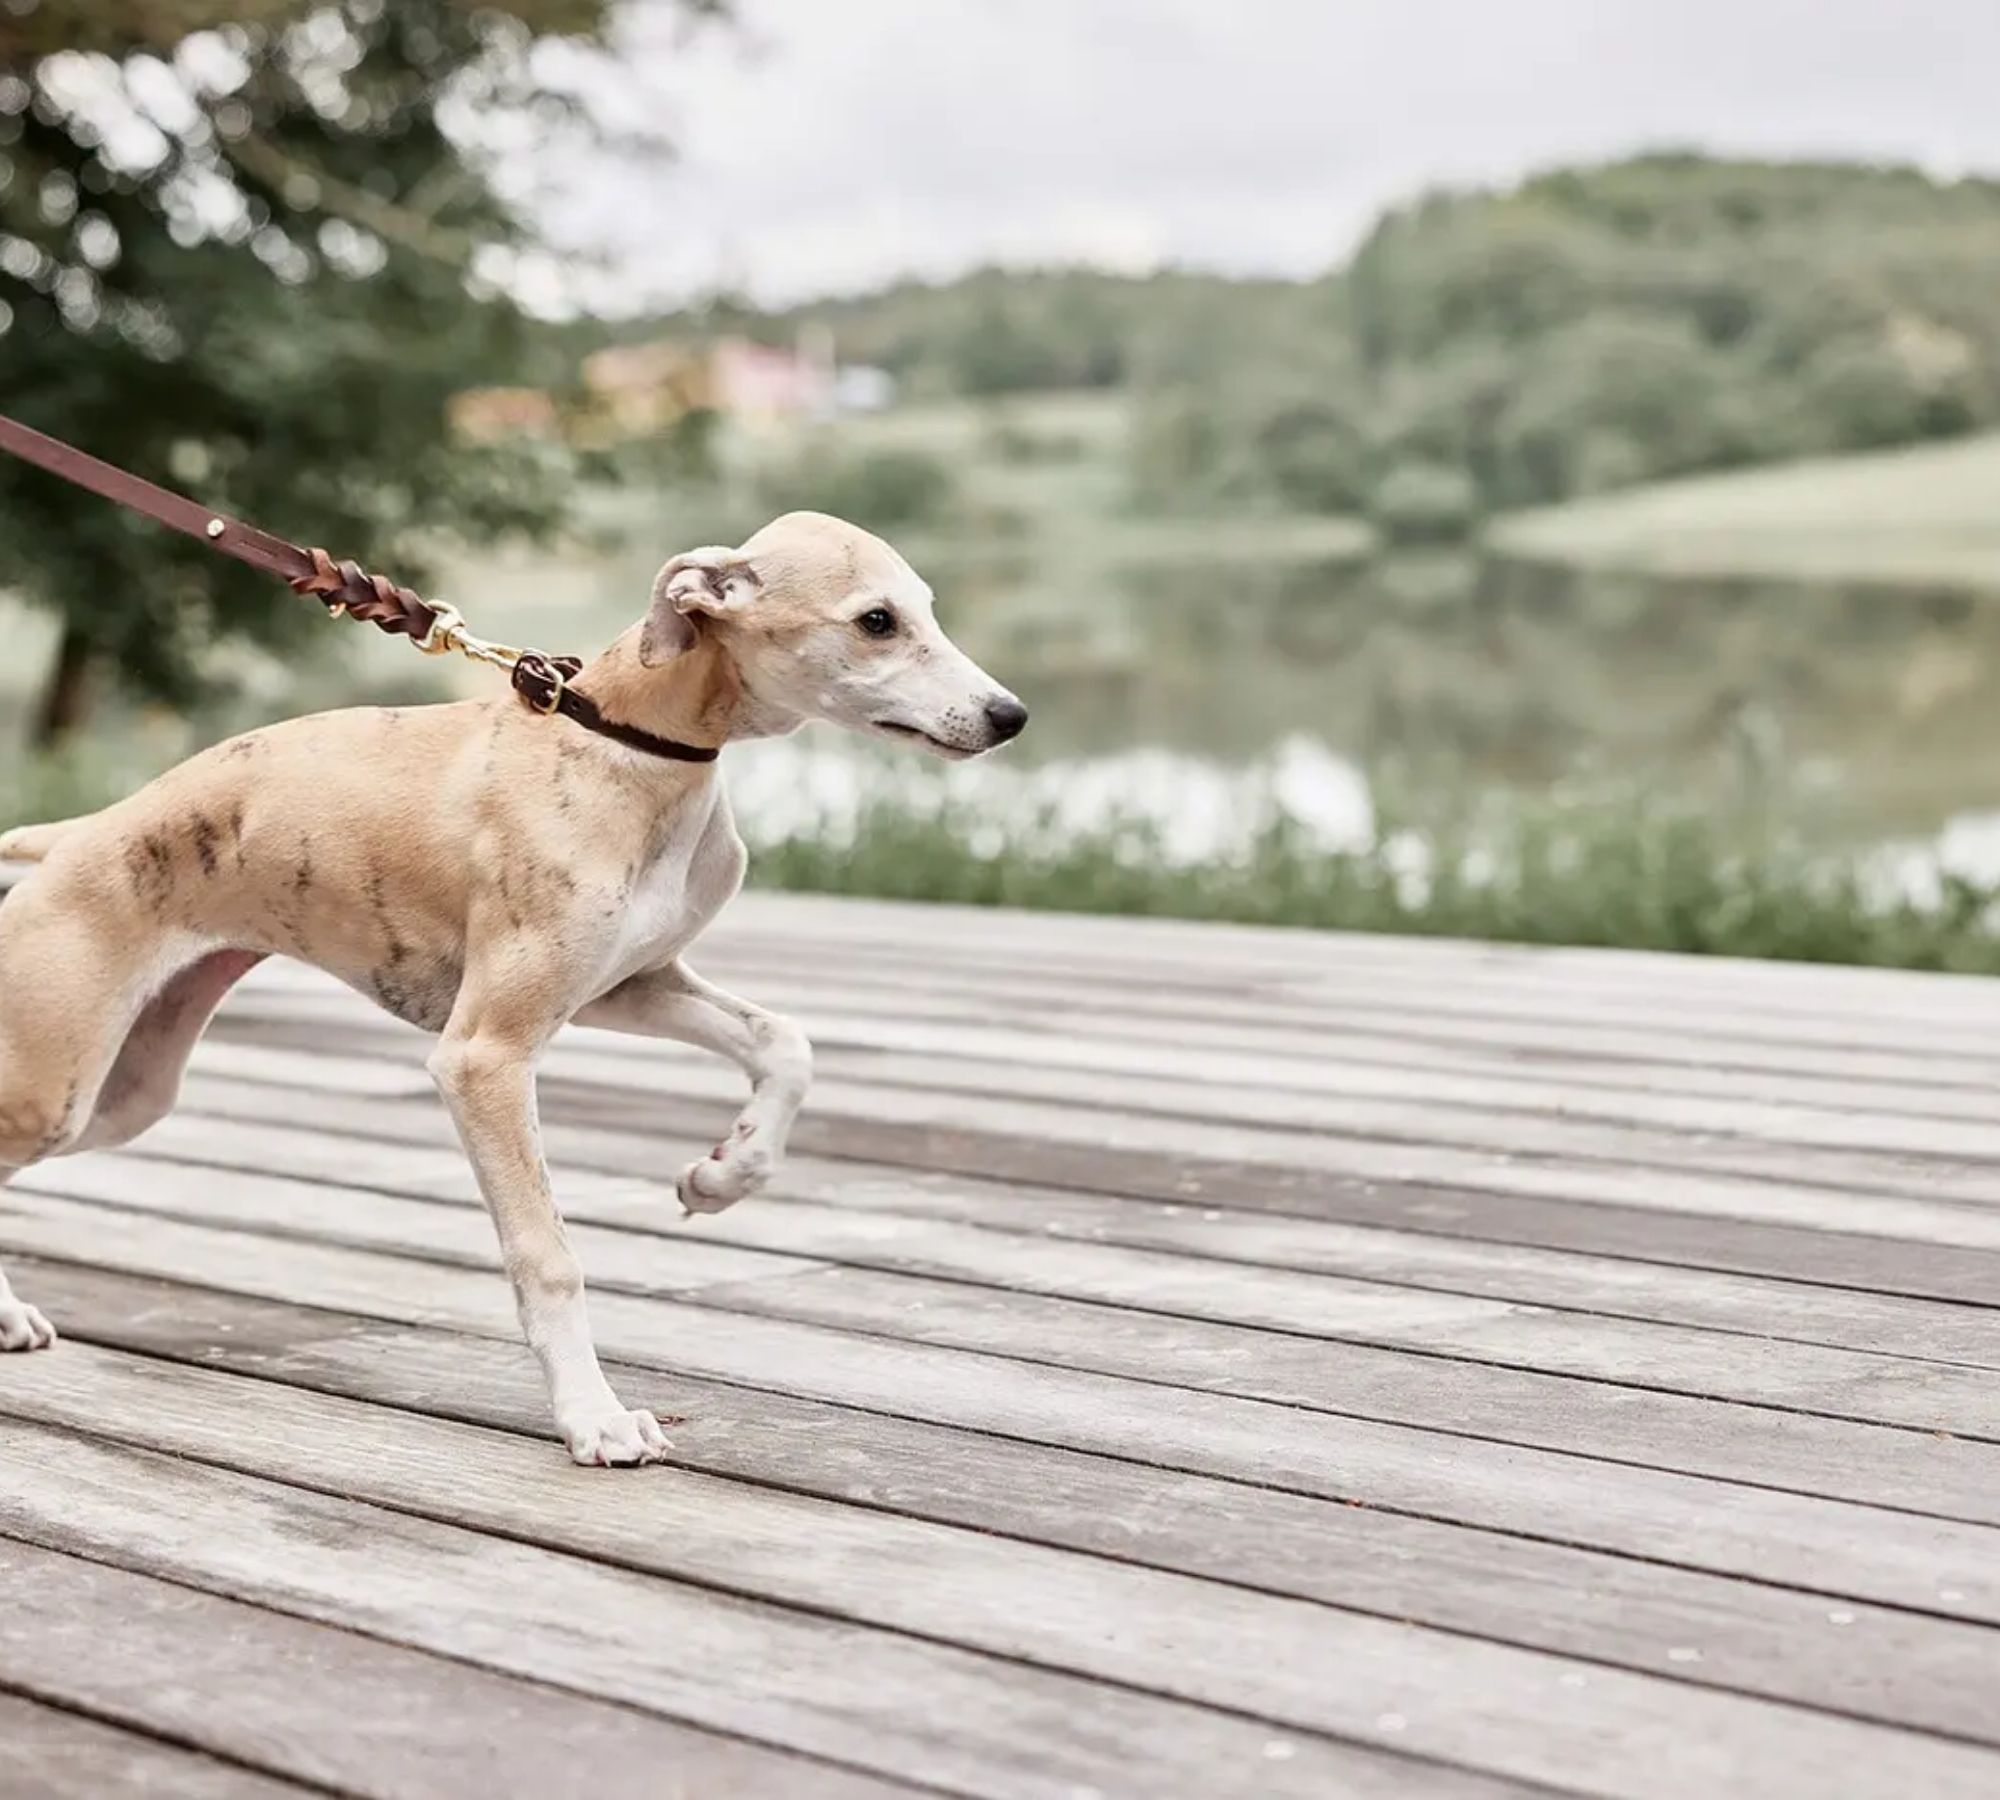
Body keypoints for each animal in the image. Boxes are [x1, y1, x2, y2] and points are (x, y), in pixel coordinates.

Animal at [0, 512, 1032, 1472]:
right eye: (876, 620)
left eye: (926, 607)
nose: (1010, 715)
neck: (628, 741)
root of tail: (72, 838)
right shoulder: (484, 1054)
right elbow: (549, 1255)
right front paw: (595, 1419)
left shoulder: (627, 985)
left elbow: (785, 1043)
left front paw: (725, 1173)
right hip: (58, 1086)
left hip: (131, 1092)